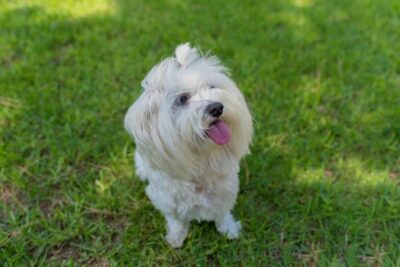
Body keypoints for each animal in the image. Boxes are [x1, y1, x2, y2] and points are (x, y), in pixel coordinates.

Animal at [123, 43, 252, 249]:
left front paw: (229, 230)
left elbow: (222, 213)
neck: (202, 158)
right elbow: (175, 220)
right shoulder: (166, 200)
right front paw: (176, 237)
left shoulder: (226, 191)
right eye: (182, 99)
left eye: (212, 87)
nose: (216, 107)